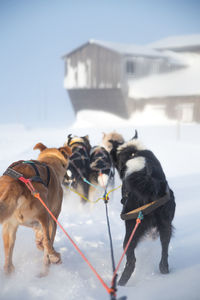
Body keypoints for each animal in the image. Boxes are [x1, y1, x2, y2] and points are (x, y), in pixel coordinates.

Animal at [0, 143, 72, 276]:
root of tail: (16, 183)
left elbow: (39, 237)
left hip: (9, 228)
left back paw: (9, 272)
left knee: (7, 262)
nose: (69, 180)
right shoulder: (52, 219)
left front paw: (39, 242)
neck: (48, 162)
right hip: (45, 214)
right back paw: (54, 258)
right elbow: (47, 242)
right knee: (48, 243)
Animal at [110, 131, 176, 286]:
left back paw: (121, 282)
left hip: (131, 231)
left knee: (131, 261)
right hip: (166, 225)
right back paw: (164, 269)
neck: (133, 152)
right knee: (164, 250)